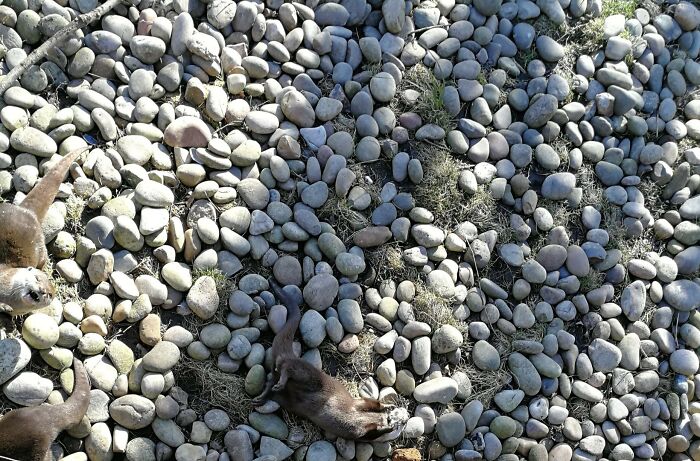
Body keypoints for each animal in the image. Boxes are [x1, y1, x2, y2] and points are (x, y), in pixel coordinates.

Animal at [252, 279, 408, 441]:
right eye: (402, 412)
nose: (406, 415)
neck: (370, 418)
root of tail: (289, 356)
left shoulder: (362, 432)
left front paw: (389, 422)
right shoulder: (359, 408)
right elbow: (372, 404)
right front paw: (388, 409)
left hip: (285, 398)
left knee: (271, 381)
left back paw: (261, 398)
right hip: (309, 375)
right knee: (288, 368)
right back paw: (280, 383)